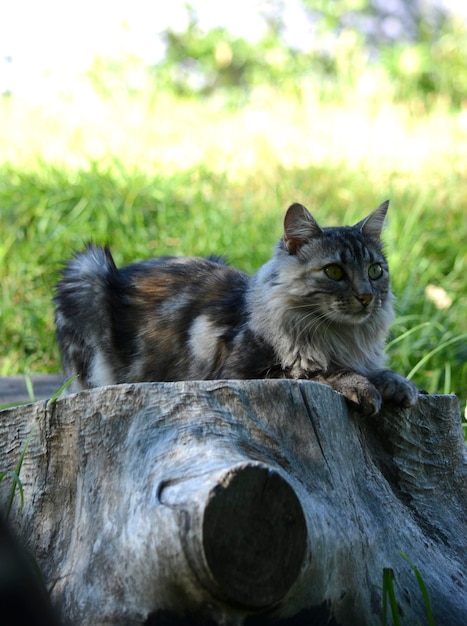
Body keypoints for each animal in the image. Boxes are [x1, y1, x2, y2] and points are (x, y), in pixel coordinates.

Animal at [53, 201, 418, 414]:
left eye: (375, 271)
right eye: (334, 272)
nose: (367, 297)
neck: (340, 337)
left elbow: (378, 371)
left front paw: (398, 384)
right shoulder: (243, 373)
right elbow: (316, 372)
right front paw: (361, 386)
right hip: (87, 272)